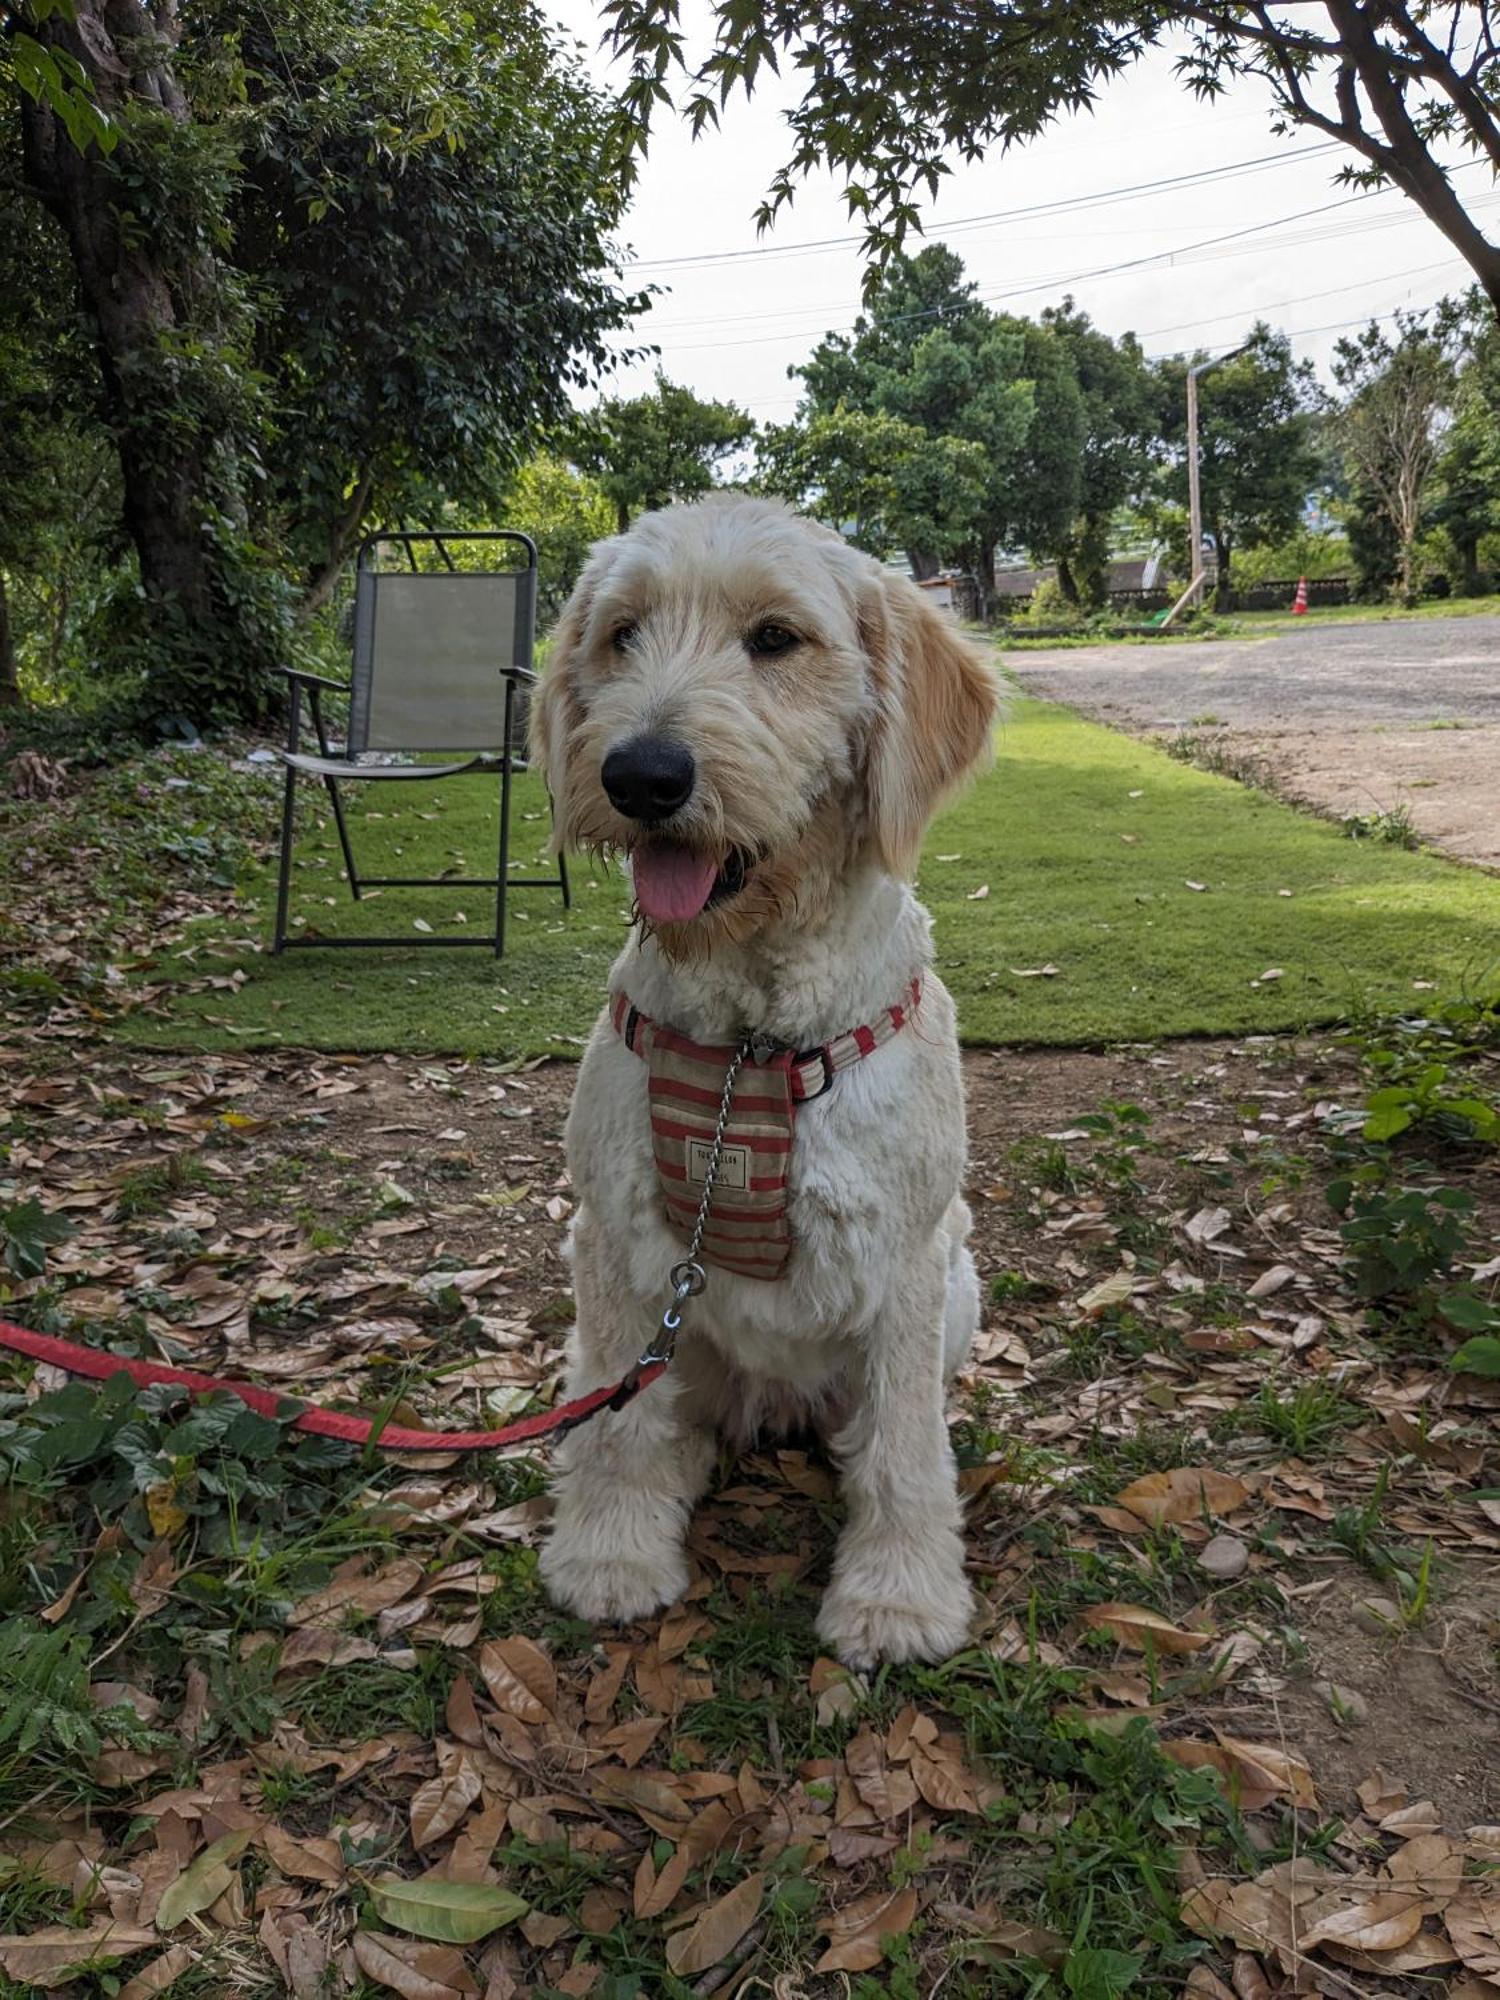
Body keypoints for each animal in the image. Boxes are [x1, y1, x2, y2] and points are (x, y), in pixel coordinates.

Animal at [528, 500, 1000, 1672]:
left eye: (777, 639)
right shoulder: (613, 1239)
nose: (642, 775)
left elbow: (906, 1450)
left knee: (879, 1425)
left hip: (960, 1287)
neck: (750, 1035)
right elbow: (616, 1422)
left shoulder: (908, 1257)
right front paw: (611, 1552)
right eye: (623, 634)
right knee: (638, 1408)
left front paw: (898, 1597)